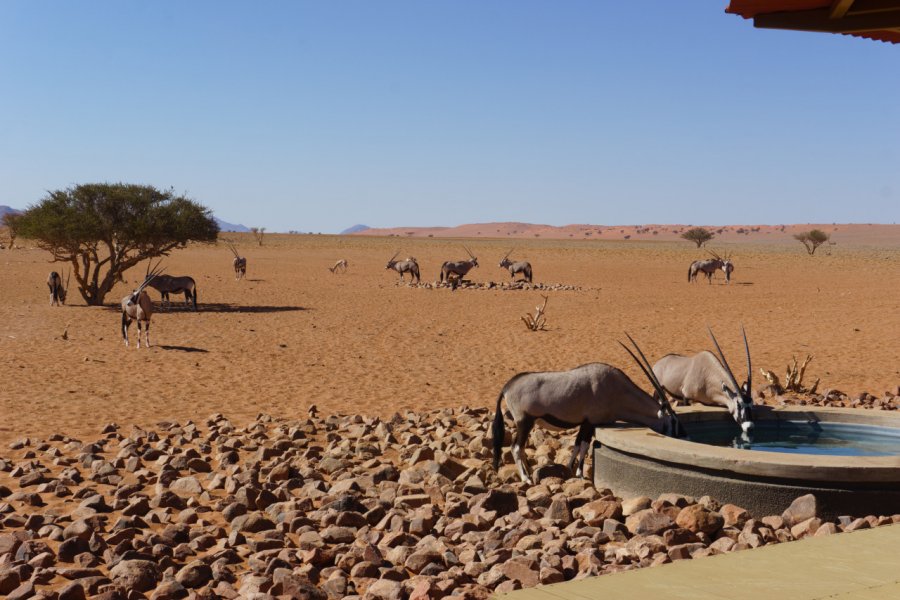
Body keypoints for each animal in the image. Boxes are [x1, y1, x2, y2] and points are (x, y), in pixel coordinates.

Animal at [492, 332, 684, 482]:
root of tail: (507, 386)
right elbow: (584, 446)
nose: (681, 436)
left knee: (520, 448)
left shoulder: (585, 423)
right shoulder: (590, 422)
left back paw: (530, 471)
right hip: (524, 422)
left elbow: (577, 445)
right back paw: (526, 478)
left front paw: (569, 468)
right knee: (516, 447)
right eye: (673, 422)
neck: (616, 389)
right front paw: (579, 474)